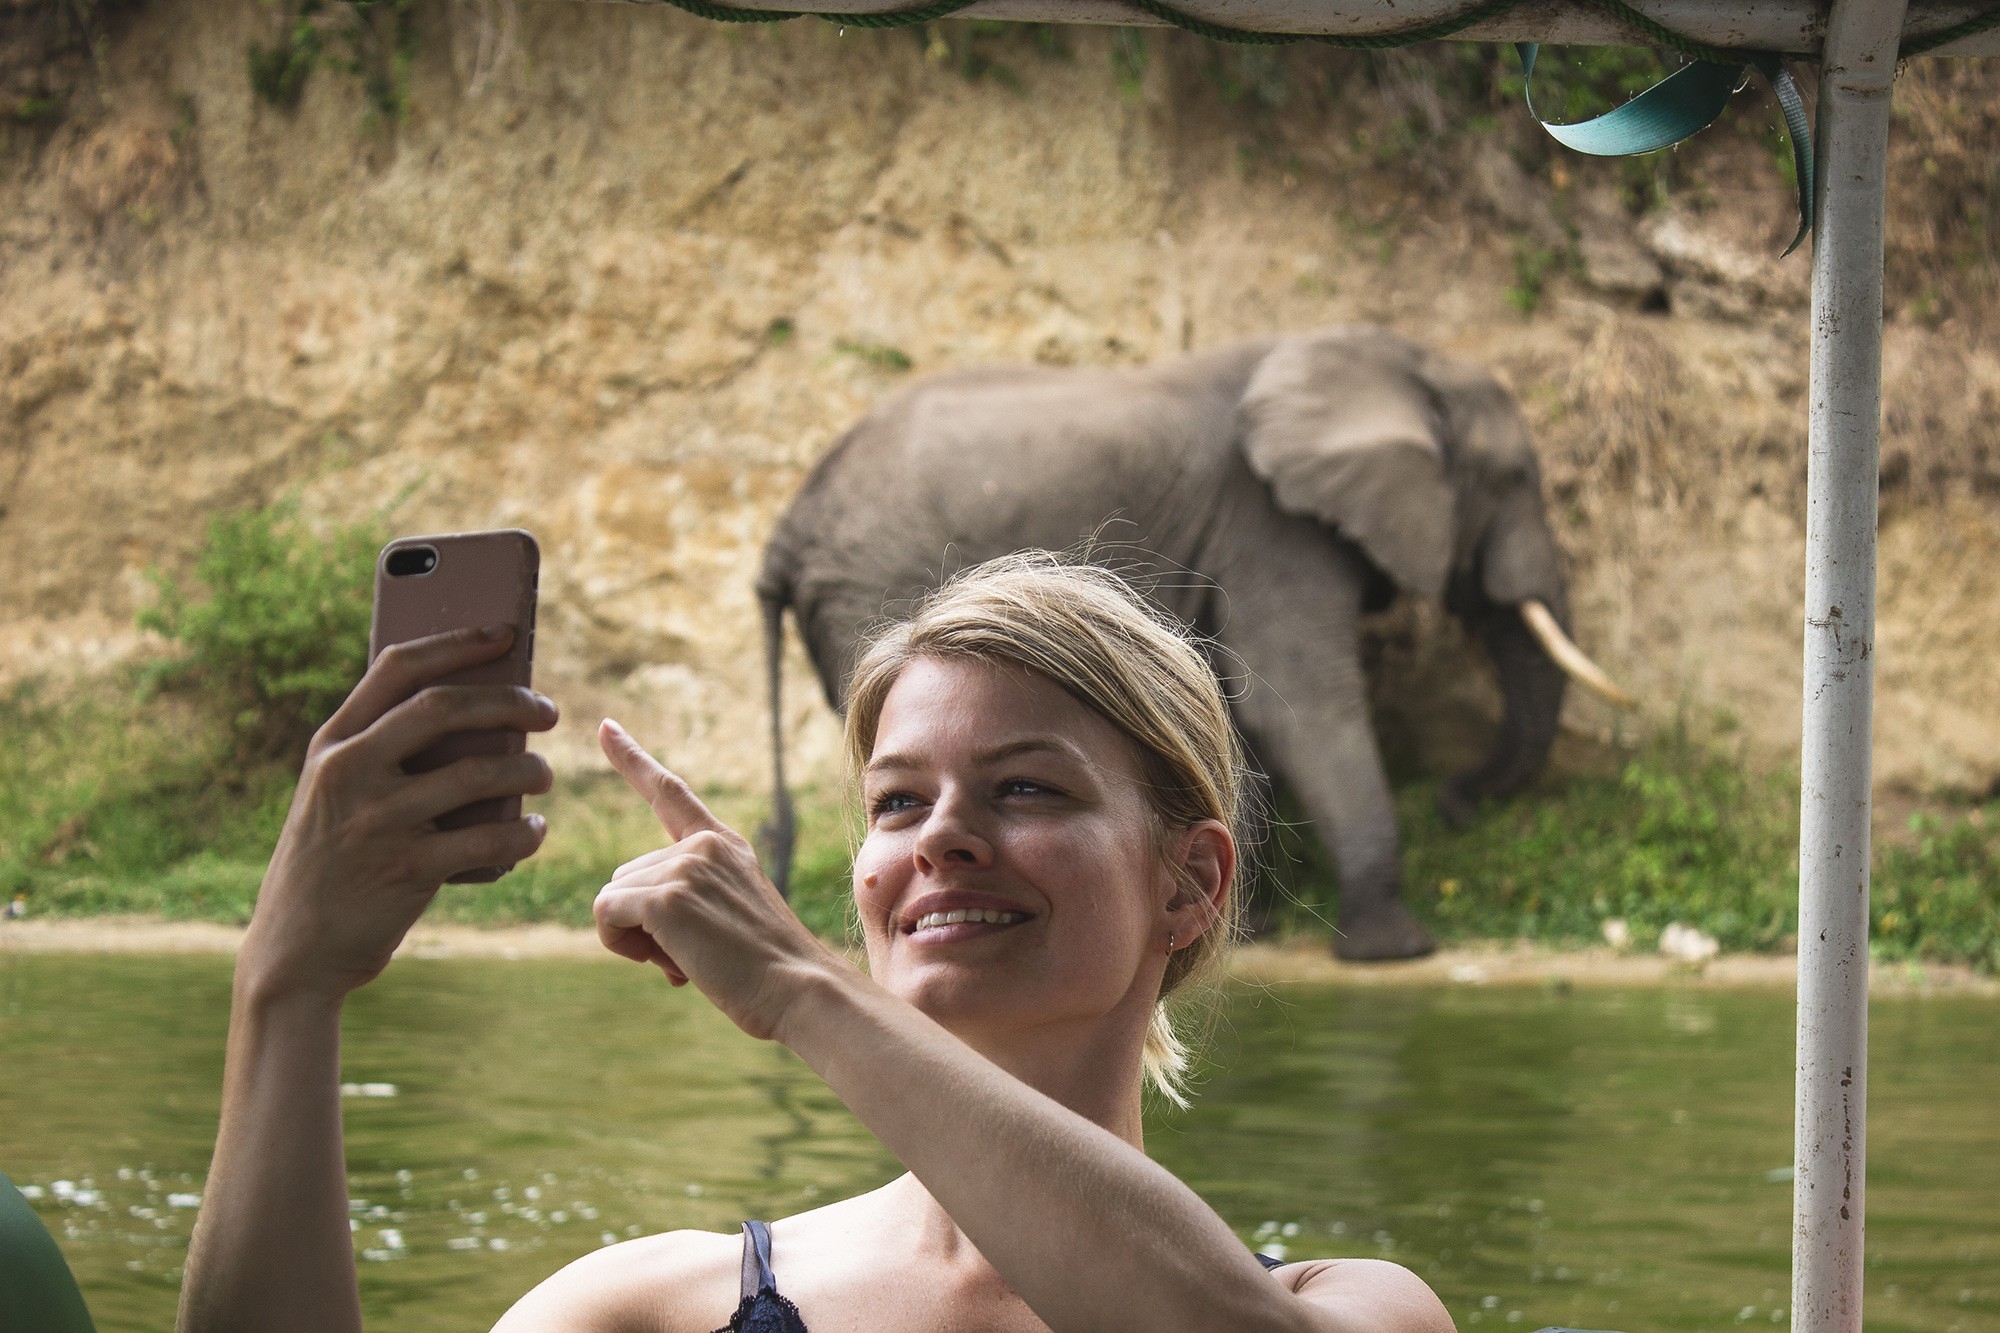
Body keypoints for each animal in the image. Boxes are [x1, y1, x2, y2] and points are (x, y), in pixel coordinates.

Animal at [752, 326, 1630, 961]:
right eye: (1515, 479)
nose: (1456, 801)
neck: (1387, 357)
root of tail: (789, 522)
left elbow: (1223, 707)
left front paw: (1241, 930)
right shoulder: (1271, 524)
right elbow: (1297, 697)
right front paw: (1398, 950)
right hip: (872, 586)